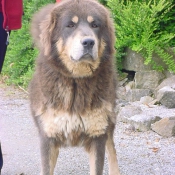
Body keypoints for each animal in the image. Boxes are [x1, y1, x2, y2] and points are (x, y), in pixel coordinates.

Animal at [29, 0, 120, 175]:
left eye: (95, 25)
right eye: (70, 25)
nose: (88, 42)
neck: (76, 81)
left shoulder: (98, 135)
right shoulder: (48, 137)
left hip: (109, 124)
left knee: (112, 151)